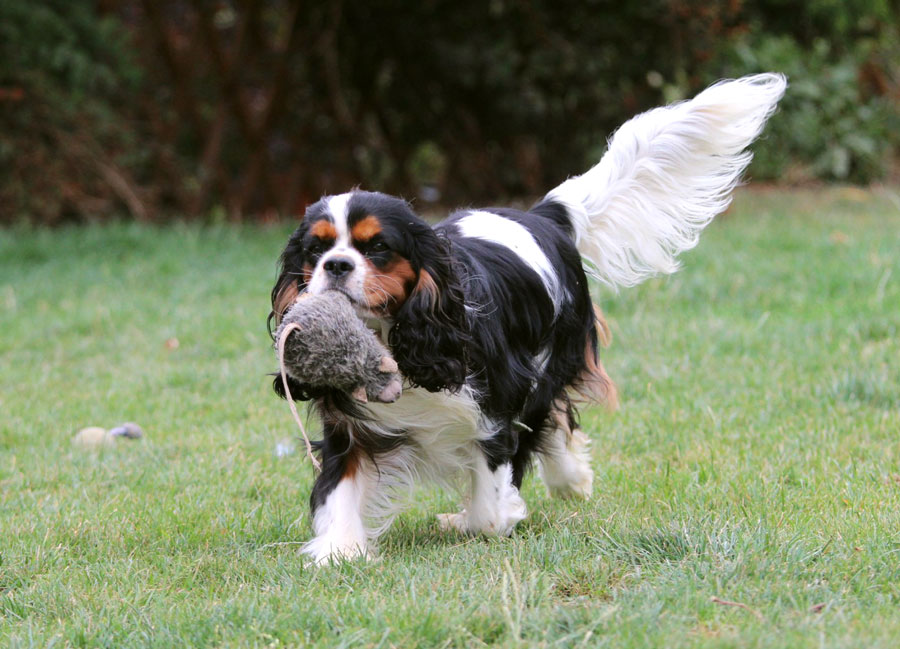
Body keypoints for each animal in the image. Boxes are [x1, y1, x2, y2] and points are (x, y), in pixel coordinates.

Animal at [268, 72, 788, 560]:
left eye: (377, 247)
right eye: (314, 250)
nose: (336, 265)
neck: (401, 337)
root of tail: (541, 215)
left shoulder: (498, 407)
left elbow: (490, 508)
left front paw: (483, 516)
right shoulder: (350, 427)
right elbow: (340, 490)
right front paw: (338, 551)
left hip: (549, 363)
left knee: (552, 418)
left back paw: (570, 478)